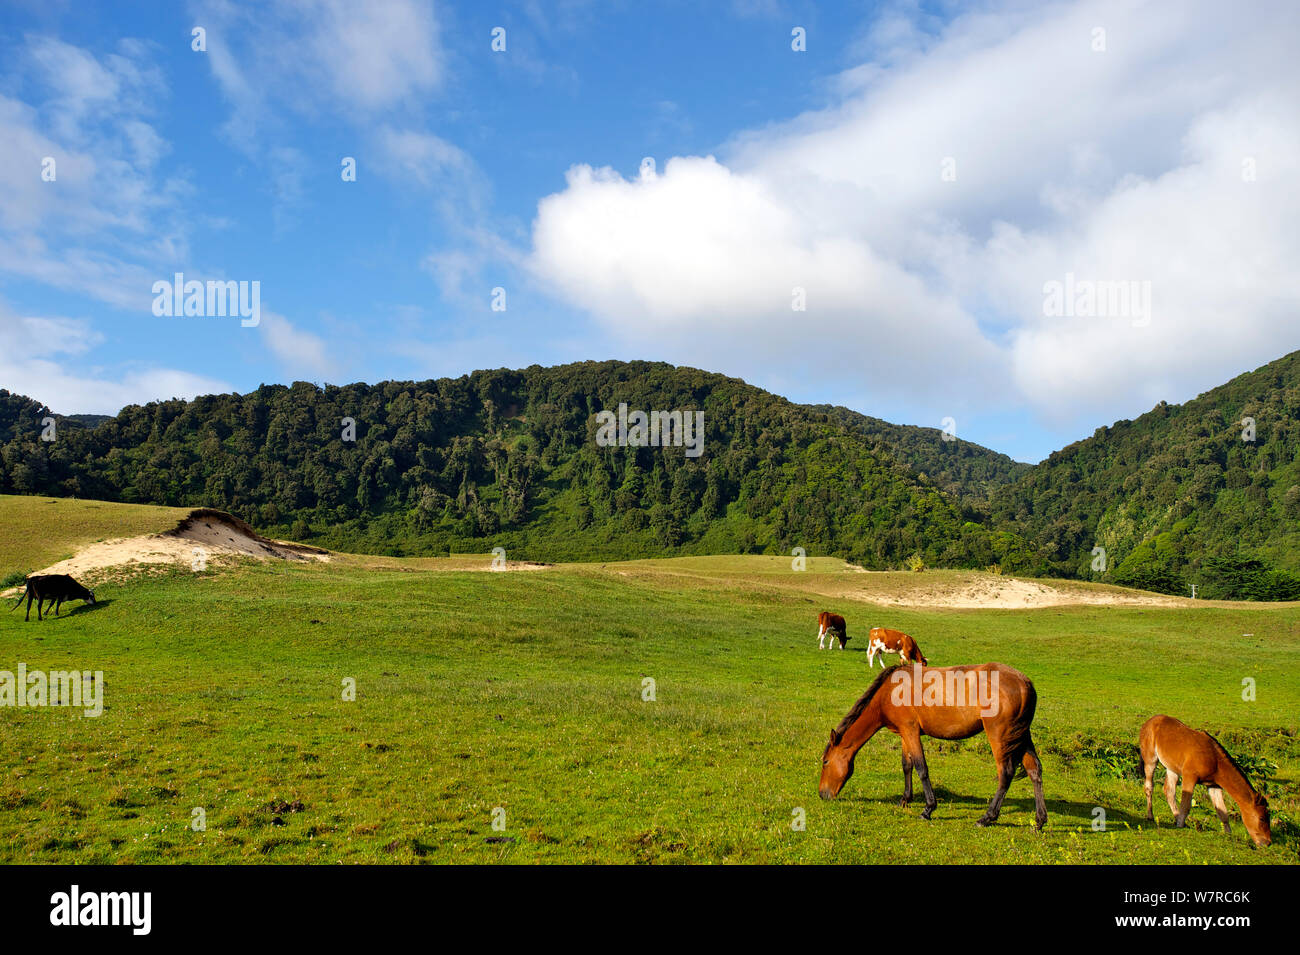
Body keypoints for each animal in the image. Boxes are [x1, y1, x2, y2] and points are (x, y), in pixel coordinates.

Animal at [816, 665, 1050, 831]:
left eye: (825, 762)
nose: (822, 794)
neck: (890, 691)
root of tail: (1025, 684)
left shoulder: (910, 730)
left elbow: (921, 768)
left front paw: (928, 809)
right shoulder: (905, 733)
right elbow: (907, 765)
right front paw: (905, 799)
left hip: (999, 737)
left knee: (1005, 773)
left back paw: (987, 817)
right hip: (1021, 737)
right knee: (1035, 770)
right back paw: (1039, 821)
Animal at [1138, 712, 1268, 847]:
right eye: (1262, 818)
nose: (1267, 842)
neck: (1215, 760)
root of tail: (1149, 722)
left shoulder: (1214, 785)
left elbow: (1222, 812)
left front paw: (1228, 834)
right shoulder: (1189, 777)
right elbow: (1186, 805)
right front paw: (1180, 825)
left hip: (1172, 768)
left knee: (1169, 791)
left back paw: (1175, 816)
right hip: (1151, 761)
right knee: (1149, 787)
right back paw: (1151, 816)